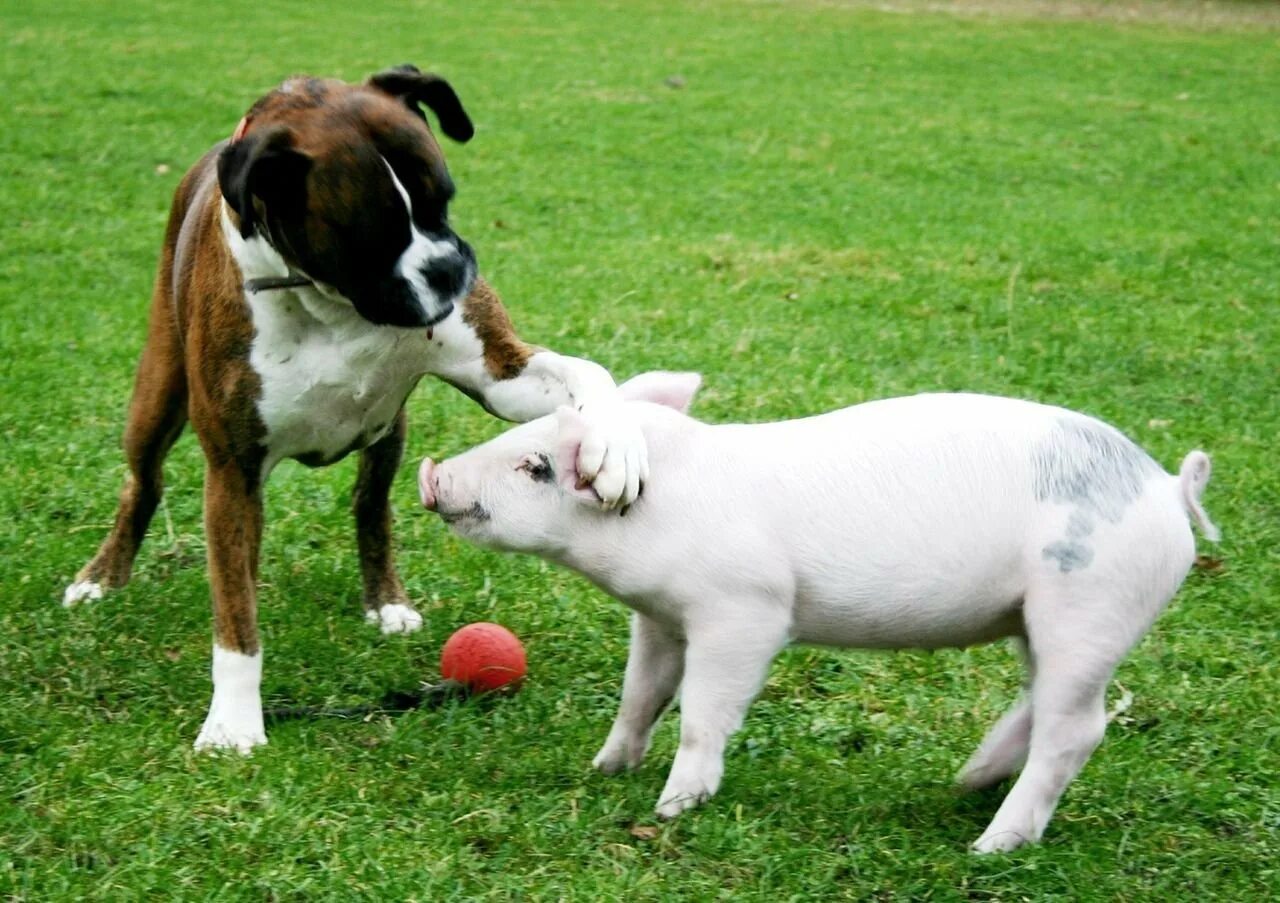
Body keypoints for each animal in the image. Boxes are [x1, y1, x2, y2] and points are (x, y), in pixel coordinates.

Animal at [63, 65, 645, 753]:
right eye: (374, 233)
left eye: (443, 201)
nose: (449, 267)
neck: (331, 301)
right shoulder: (232, 470)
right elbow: (234, 617)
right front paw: (233, 723)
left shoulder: (501, 374)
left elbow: (591, 373)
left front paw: (615, 447)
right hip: (157, 395)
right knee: (144, 484)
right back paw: (101, 577)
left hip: (387, 431)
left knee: (371, 507)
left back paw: (385, 600)